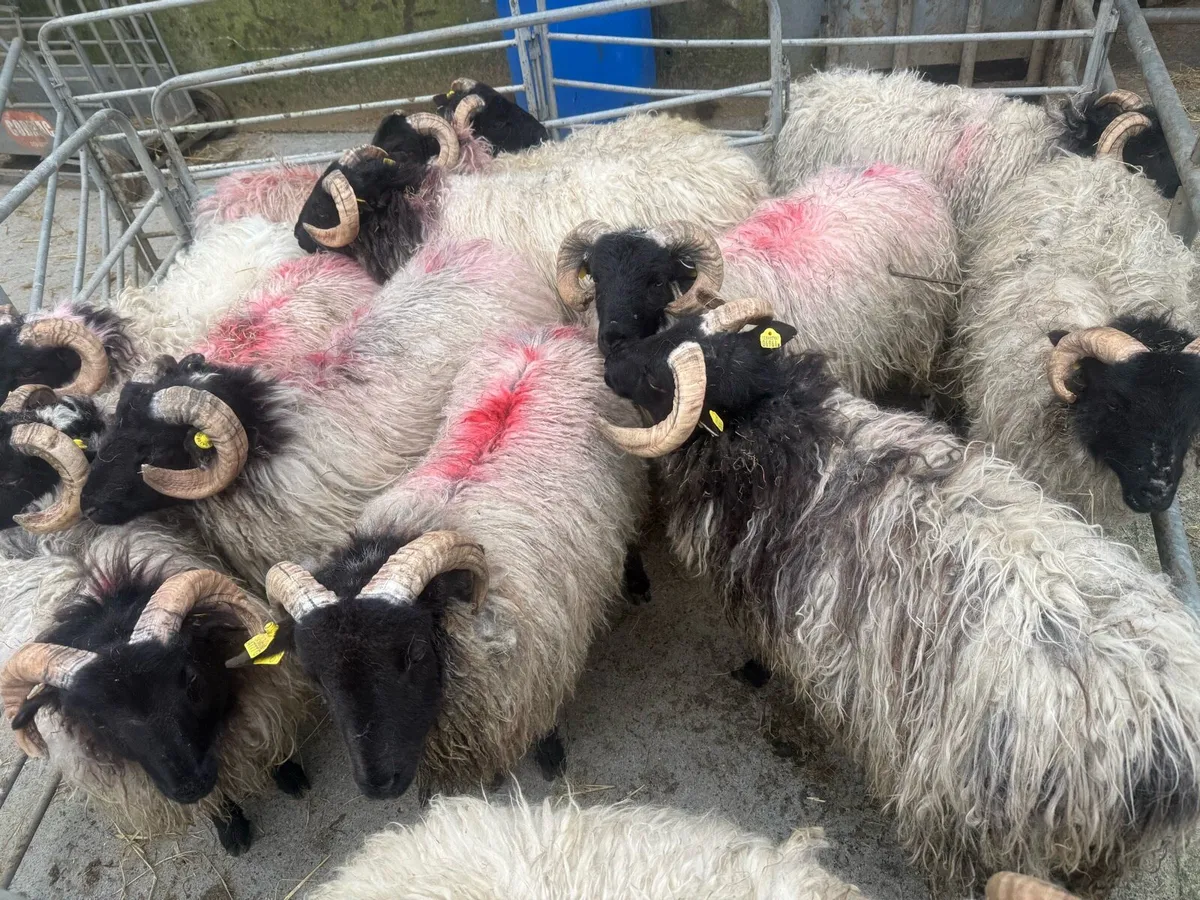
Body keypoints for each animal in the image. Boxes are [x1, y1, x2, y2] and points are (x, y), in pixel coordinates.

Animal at [1, 520, 311, 855]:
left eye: (191, 680)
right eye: (97, 721)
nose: (189, 787)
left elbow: (267, 740)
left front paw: (288, 774)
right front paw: (230, 827)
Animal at [253, 325, 647, 798]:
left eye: (415, 653)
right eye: (315, 676)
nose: (379, 785)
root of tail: (544, 337)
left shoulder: (538, 669)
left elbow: (544, 727)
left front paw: (551, 757)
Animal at [597, 297, 1200, 894]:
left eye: (658, 379)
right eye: (670, 328)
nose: (610, 364)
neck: (784, 424)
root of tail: (1158, 737)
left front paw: (760, 682)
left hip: (968, 812)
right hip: (1108, 850)